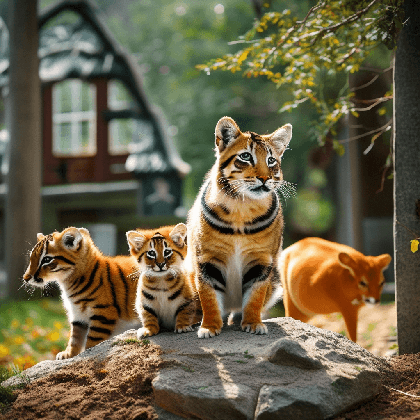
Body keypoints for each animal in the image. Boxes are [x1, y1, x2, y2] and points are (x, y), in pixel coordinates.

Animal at [22, 228, 139, 360]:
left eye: (46, 260)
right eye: (31, 258)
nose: (25, 278)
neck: (68, 283)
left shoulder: (103, 314)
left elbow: (92, 340)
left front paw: (88, 355)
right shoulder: (77, 314)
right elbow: (75, 337)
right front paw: (68, 355)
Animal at [185, 115, 294, 338]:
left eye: (271, 160)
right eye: (245, 156)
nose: (265, 178)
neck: (242, 206)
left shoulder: (261, 260)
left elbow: (254, 296)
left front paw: (253, 323)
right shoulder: (206, 258)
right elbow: (208, 297)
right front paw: (209, 327)